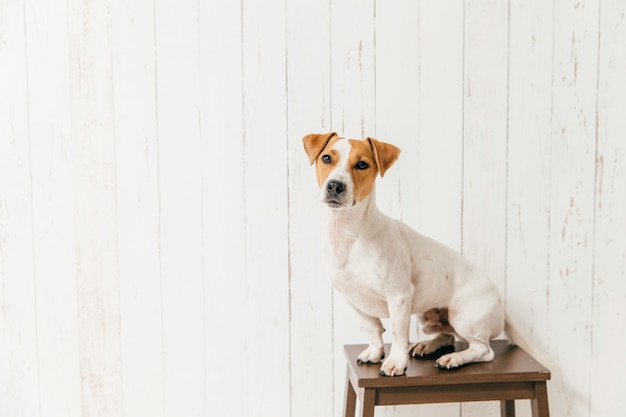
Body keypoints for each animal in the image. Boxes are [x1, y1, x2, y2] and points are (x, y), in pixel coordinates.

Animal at [304, 132, 508, 376]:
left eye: (362, 164)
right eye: (326, 158)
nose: (335, 185)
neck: (349, 235)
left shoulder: (399, 295)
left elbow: (397, 332)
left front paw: (395, 363)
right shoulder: (352, 298)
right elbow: (373, 328)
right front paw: (375, 353)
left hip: (465, 317)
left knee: (483, 350)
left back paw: (454, 358)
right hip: (426, 315)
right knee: (447, 335)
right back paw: (427, 345)